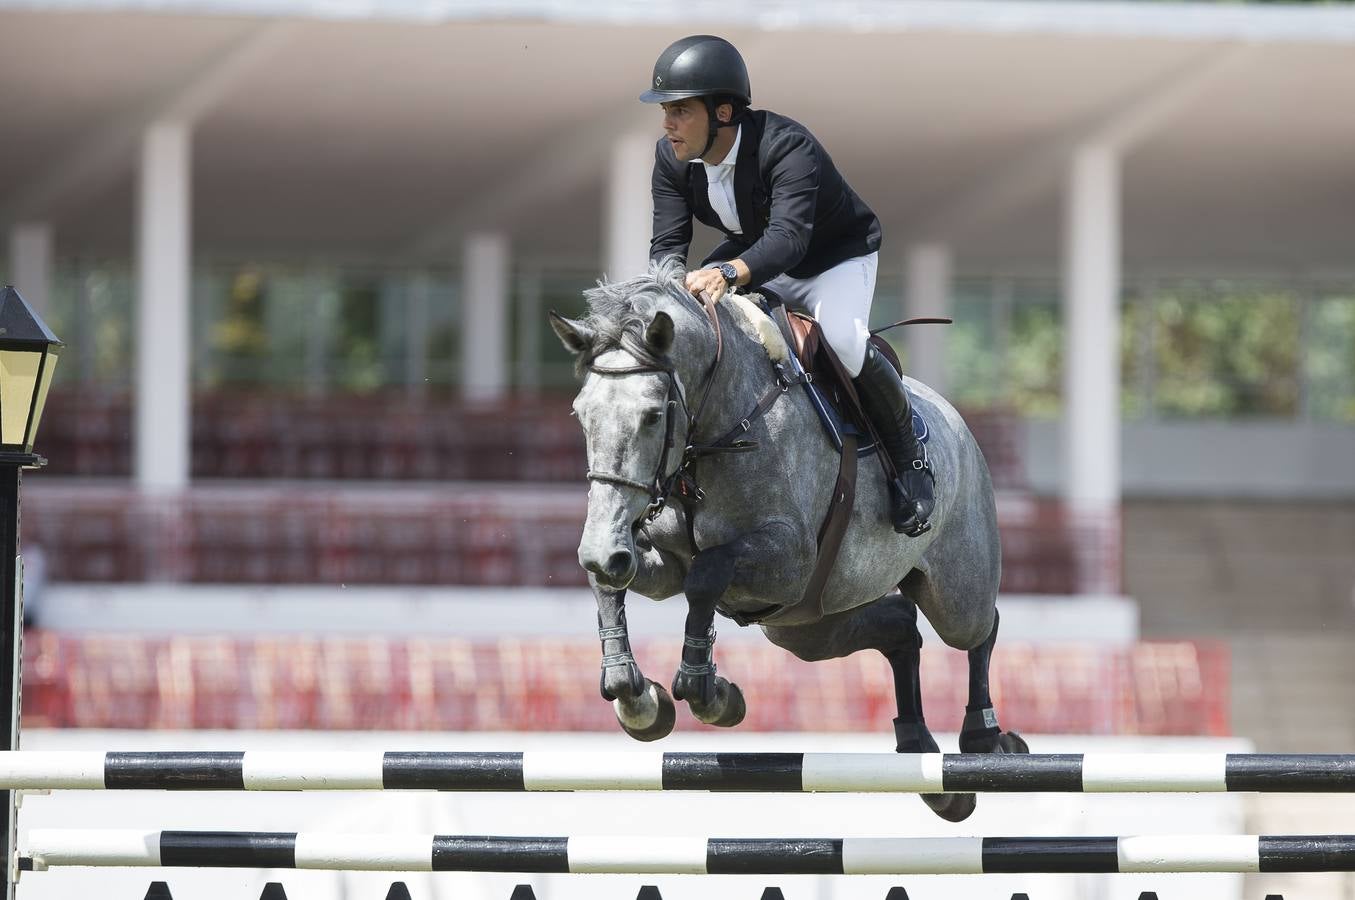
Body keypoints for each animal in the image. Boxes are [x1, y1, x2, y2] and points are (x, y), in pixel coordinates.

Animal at [550, 258, 1024, 824]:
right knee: (899, 628)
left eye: (652, 415)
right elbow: (616, 585)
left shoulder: (790, 559)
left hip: (949, 592)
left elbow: (707, 573)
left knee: (979, 629)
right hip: (806, 622)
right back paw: (922, 755)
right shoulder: (664, 562)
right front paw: (636, 696)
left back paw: (986, 740)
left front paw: (706, 689)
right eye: (581, 414)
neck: (719, 423)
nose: (602, 549)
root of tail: (956, 421)